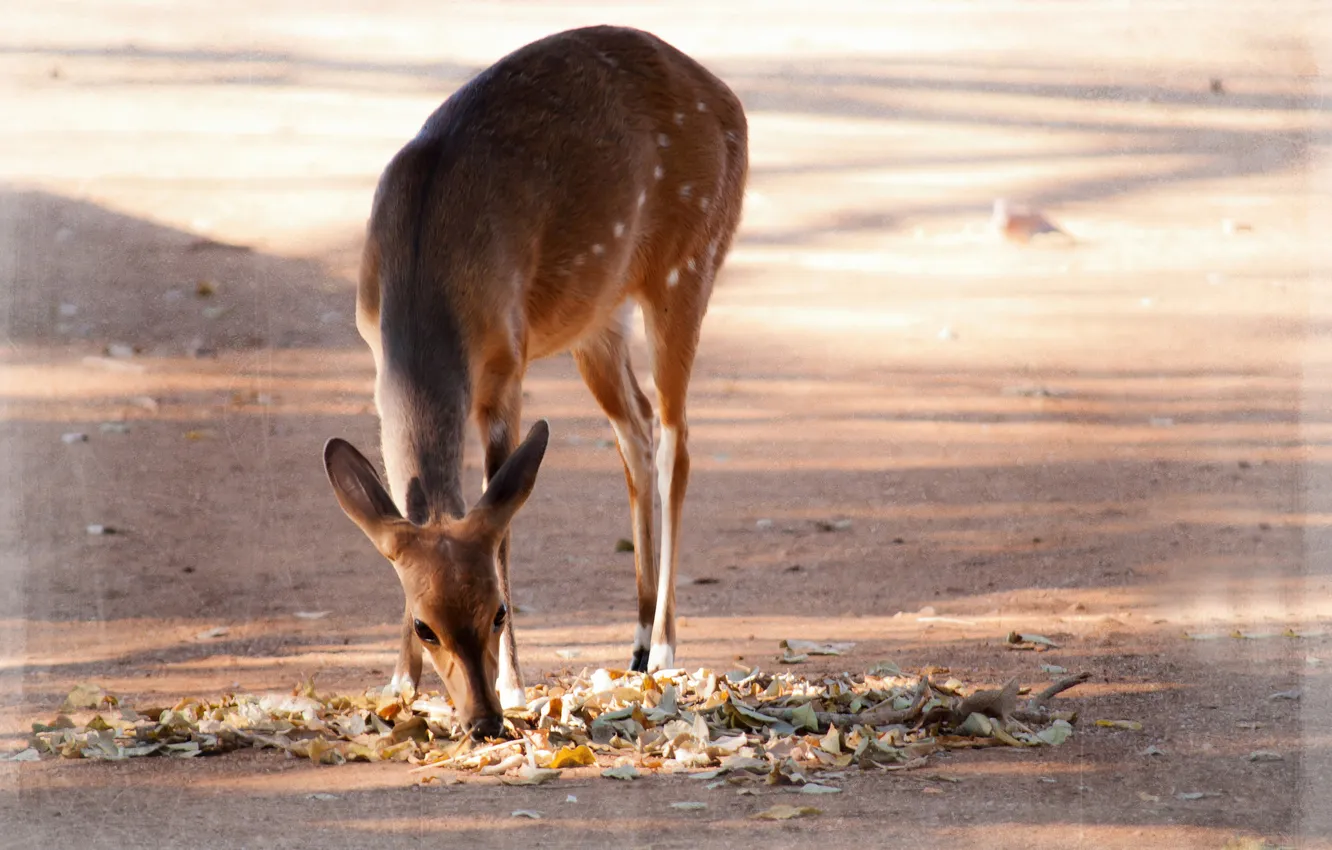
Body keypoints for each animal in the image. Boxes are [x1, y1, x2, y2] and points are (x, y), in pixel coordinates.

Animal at [317, 21, 745, 740]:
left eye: (498, 612)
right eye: (424, 625)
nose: (483, 721)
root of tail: (727, 99)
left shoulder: (506, 363)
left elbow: (504, 519)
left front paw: (517, 683)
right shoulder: (372, 349)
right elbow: (405, 508)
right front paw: (398, 683)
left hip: (688, 263)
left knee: (674, 440)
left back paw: (663, 646)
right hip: (595, 318)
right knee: (634, 431)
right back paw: (634, 642)